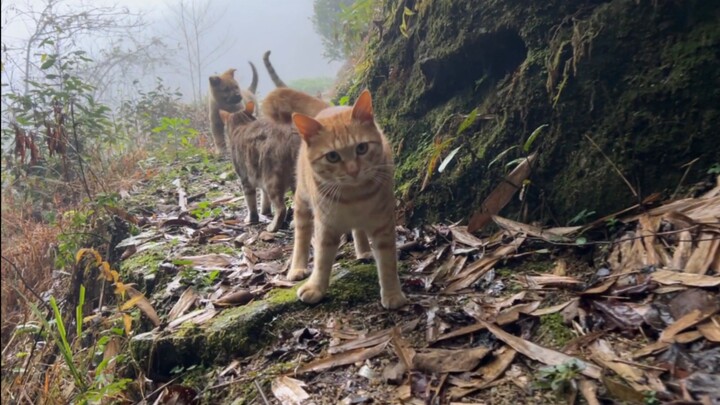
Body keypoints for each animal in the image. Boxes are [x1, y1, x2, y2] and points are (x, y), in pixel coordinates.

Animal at [288, 90, 410, 308]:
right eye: (332, 157)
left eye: (361, 148)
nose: (353, 171)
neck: (355, 197)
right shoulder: (326, 226)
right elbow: (321, 259)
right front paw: (316, 287)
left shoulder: (383, 223)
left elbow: (388, 261)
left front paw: (392, 293)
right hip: (302, 202)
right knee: (302, 235)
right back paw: (297, 268)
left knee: (358, 230)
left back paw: (364, 251)